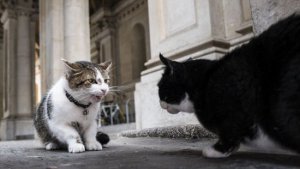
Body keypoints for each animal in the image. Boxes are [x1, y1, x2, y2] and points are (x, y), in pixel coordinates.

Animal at [158, 13, 300, 158]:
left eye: (159, 87)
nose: (160, 103)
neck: (204, 81)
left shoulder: (231, 110)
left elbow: (230, 132)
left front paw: (216, 150)